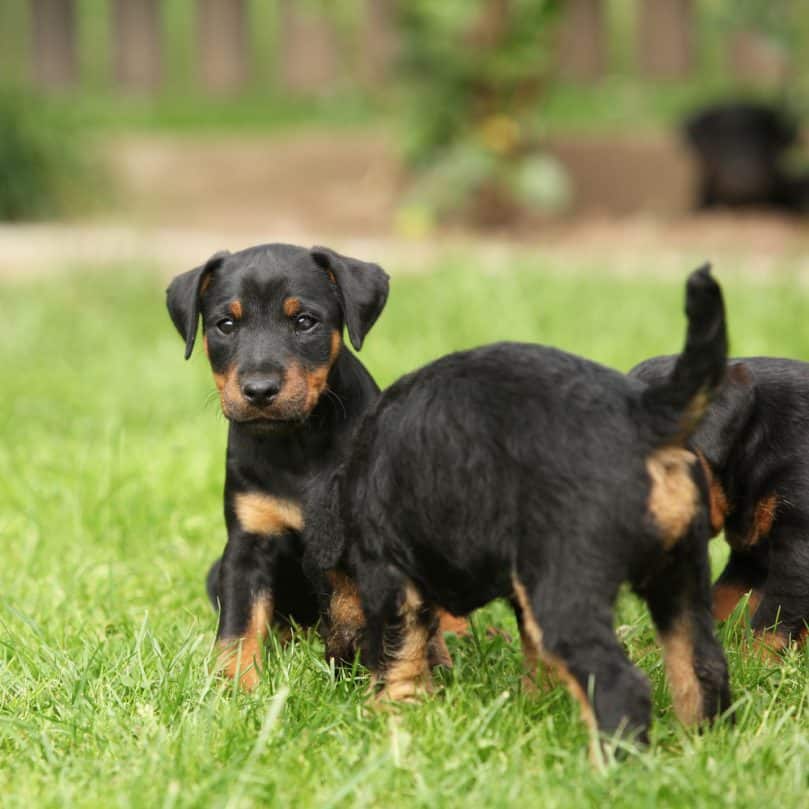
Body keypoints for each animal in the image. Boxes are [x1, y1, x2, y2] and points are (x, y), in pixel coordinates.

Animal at [165, 241, 388, 688]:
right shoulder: (248, 544)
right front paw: (235, 686)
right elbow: (238, 624)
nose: (259, 390)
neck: (297, 444)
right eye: (225, 325)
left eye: (304, 321)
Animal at [304, 268, 732, 756]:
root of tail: (645, 416)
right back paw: (702, 750)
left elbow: (398, 652)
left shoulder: (388, 574)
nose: (332, 663)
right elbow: (532, 653)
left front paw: (390, 714)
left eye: (324, 582)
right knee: (702, 666)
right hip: (681, 575)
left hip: (569, 586)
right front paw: (534, 703)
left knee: (619, 686)